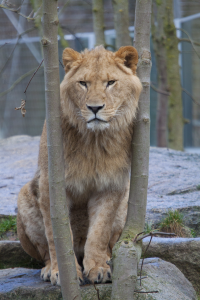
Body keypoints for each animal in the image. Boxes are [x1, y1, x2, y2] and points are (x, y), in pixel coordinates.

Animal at [16, 45, 142, 286]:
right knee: (44, 251)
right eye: (83, 83)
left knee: (108, 243)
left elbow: (99, 231)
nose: (94, 108)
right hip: (24, 195)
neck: (94, 139)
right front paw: (62, 273)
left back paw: (109, 259)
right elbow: (55, 234)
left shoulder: (111, 184)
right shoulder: (50, 185)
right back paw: (48, 268)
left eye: (110, 82)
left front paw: (98, 268)